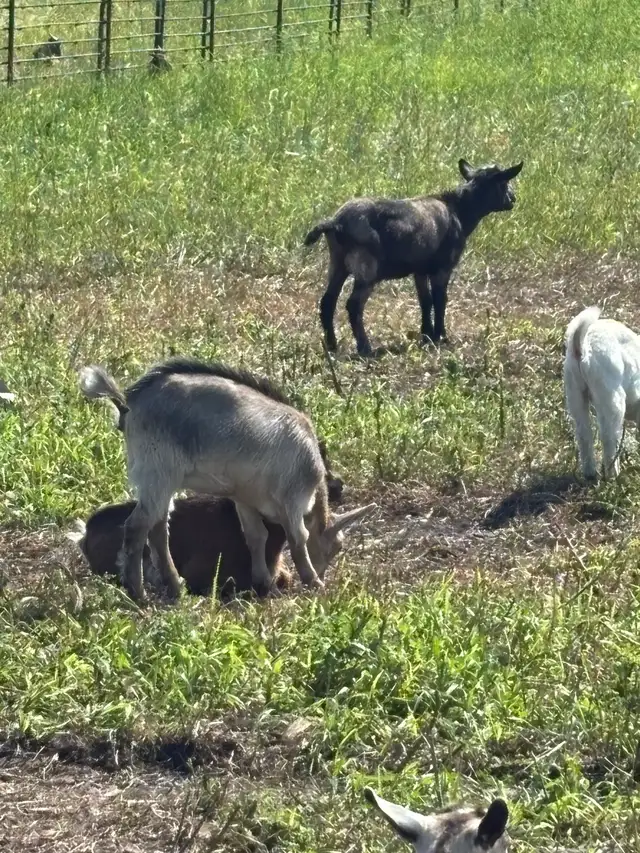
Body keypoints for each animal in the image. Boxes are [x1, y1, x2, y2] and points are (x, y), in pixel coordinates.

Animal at [79, 358, 374, 603]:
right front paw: (312, 581)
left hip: (161, 480)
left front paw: (264, 583)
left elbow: (256, 536)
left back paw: (175, 587)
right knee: (138, 526)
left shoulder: (245, 499)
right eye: (336, 547)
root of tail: (128, 403)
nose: (323, 574)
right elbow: (298, 539)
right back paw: (138, 593)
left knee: (158, 530)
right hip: (158, 472)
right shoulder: (293, 498)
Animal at [304, 158, 523, 356]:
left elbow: (425, 301)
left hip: (338, 262)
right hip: (367, 267)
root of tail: (336, 222)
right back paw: (365, 348)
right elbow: (440, 299)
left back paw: (332, 345)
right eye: (504, 183)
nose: (513, 200)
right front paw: (441, 337)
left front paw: (426, 335)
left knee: (328, 301)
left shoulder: (420, 270)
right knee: (353, 305)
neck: (459, 211)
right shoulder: (443, 267)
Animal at [564, 306, 640, 480]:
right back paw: (614, 475)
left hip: (574, 393)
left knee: (584, 434)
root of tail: (582, 347)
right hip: (611, 397)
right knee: (608, 437)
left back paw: (590, 473)